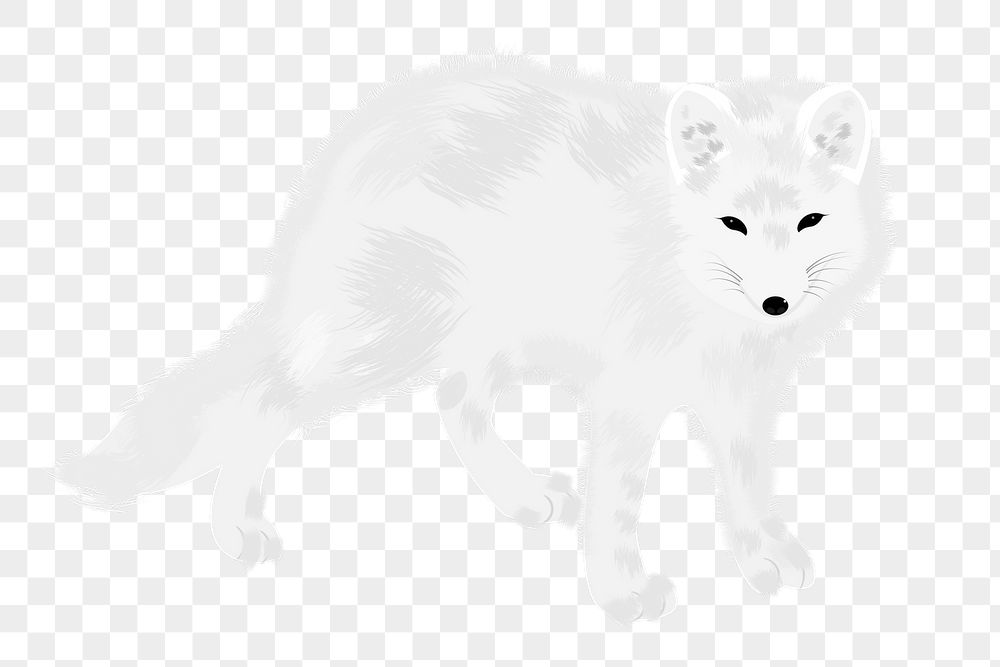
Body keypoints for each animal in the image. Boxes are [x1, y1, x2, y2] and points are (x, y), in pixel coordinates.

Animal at [57, 54, 891, 624]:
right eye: (733, 223)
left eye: (809, 221)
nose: (777, 302)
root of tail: (358, 136)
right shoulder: (627, 397)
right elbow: (617, 505)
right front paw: (620, 593)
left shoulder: (739, 400)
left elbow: (748, 493)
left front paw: (766, 560)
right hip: (386, 343)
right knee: (268, 403)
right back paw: (235, 531)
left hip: (479, 344)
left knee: (455, 410)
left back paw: (521, 496)